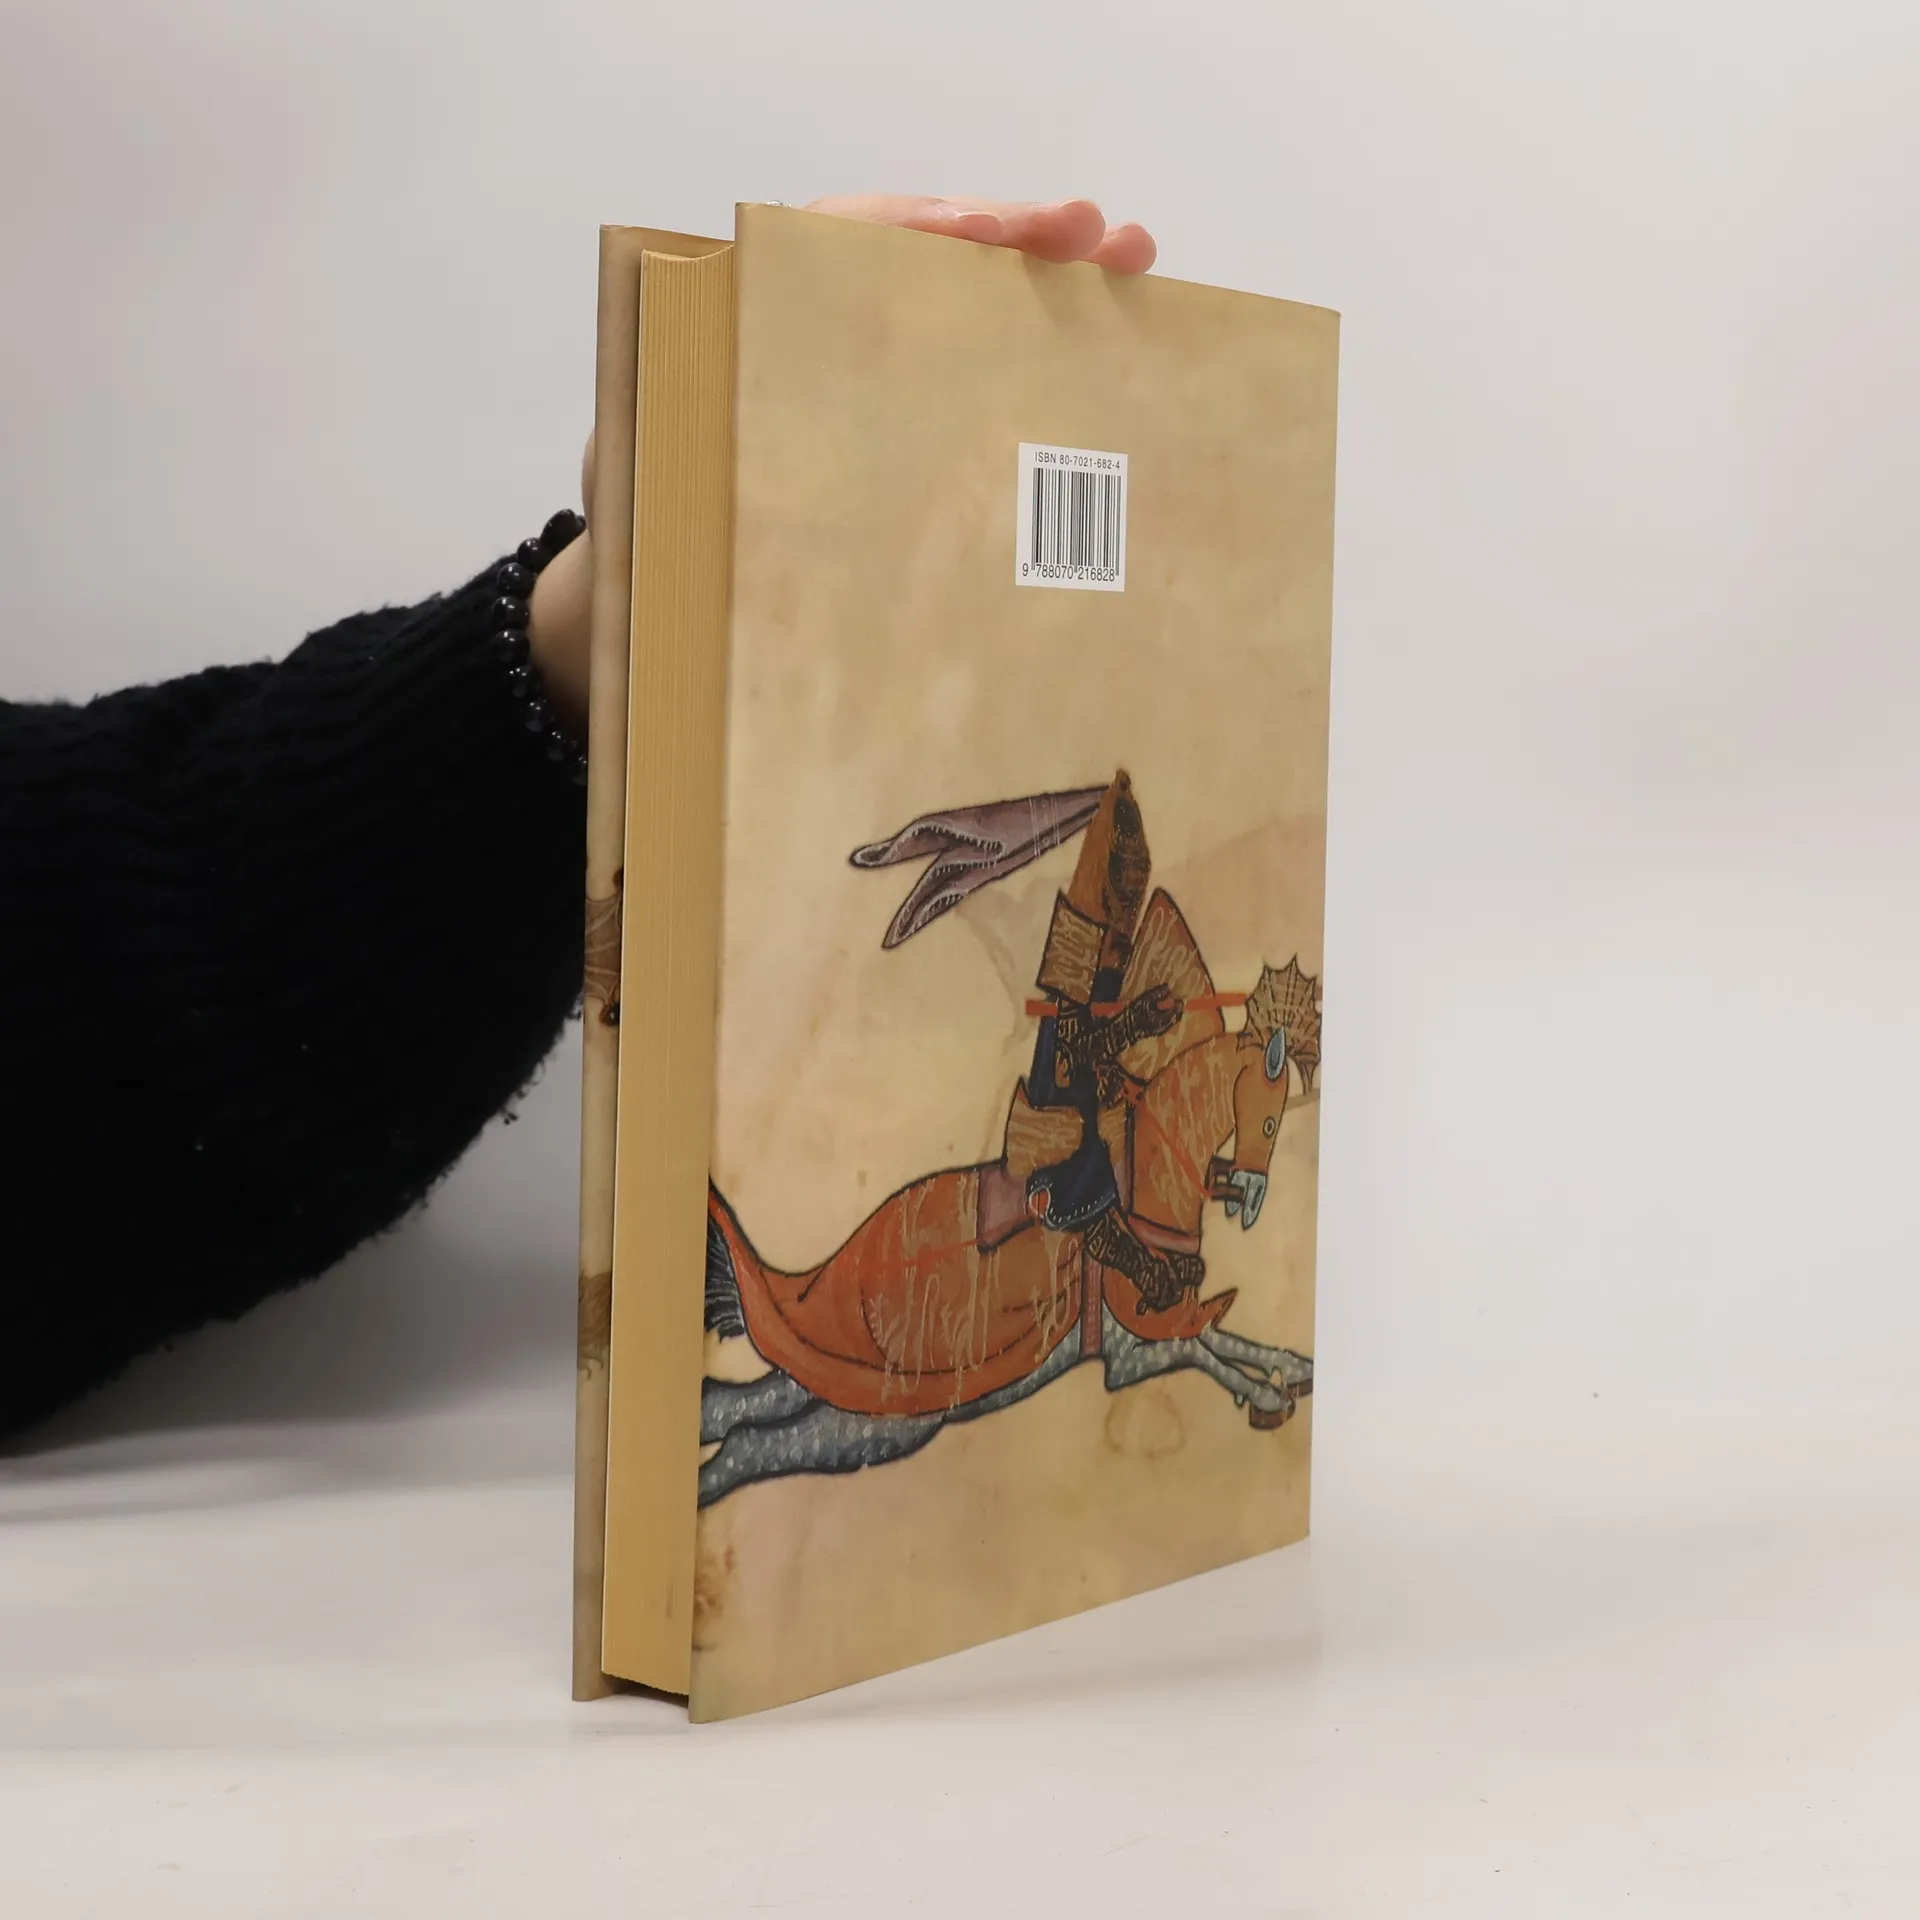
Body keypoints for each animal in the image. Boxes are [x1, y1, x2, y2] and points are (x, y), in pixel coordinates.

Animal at [697, 1020, 1315, 1507]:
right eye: (1269, 1119)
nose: (1251, 1199)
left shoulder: (1164, 1324)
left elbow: (1227, 1338)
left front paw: (1292, 1368)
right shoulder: (1129, 1354)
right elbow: (1202, 1351)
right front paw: (1265, 1396)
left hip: (831, 1400)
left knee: (729, 1407)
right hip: (877, 1424)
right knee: (748, 1442)